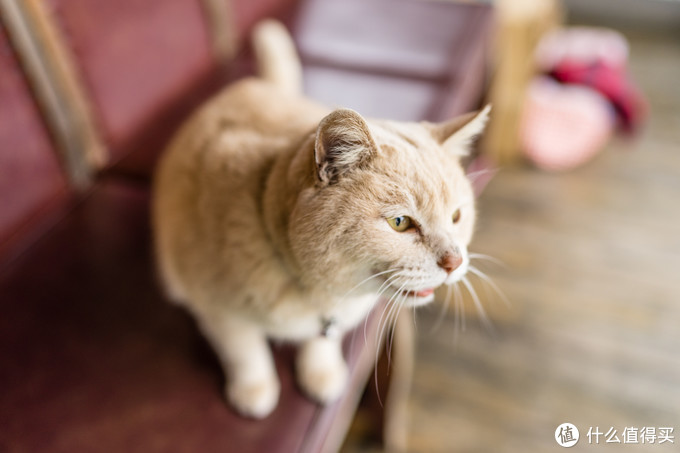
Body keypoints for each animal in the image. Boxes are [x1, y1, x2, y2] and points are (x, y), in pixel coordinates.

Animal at [153, 21, 488, 416]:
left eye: (456, 216)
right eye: (400, 223)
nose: (454, 262)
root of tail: (254, 85)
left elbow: (322, 343)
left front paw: (321, 372)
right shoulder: (218, 311)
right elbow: (245, 350)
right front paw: (255, 389)